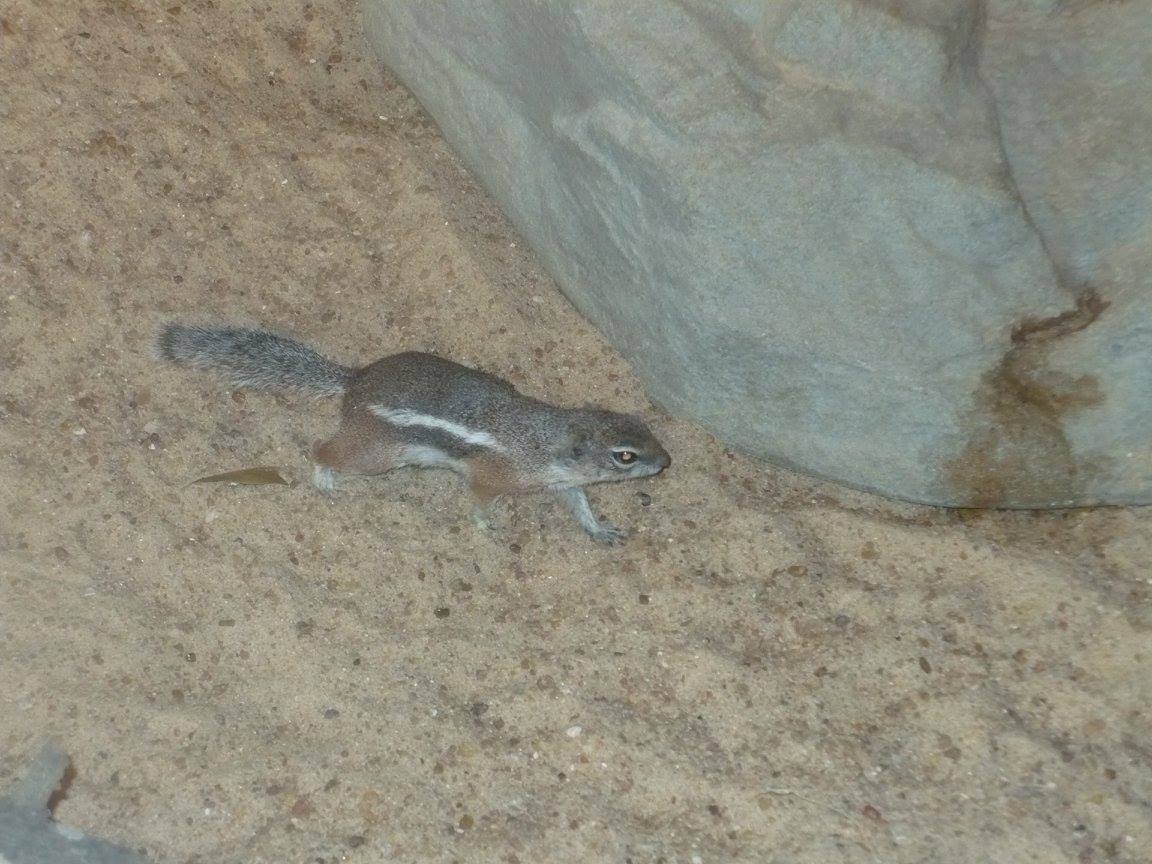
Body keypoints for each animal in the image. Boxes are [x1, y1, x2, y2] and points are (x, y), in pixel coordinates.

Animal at [155, 323, 670, 542]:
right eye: (625, 456)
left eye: (645, 428)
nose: (667, 463)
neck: (548, 438)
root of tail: (356, 380)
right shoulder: (494, 476)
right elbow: (479, 501)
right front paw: (487, 526)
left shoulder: (562, 483)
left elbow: (580, 506)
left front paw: (599, 529)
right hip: (379, 454)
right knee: (322, 448)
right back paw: (325, 480)